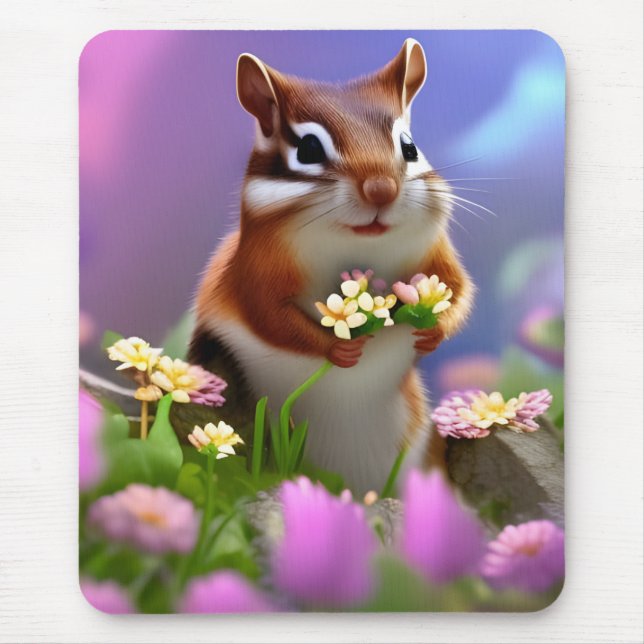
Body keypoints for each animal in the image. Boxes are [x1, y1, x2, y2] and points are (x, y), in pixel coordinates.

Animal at [189, 39, 473, 493]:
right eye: (307, 149)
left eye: (409, 147)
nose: (381, 189)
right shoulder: (252, 272)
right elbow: (269, 315)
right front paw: (339, 348)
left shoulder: (437, 257)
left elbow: (460, 289)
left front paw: (434, 331)